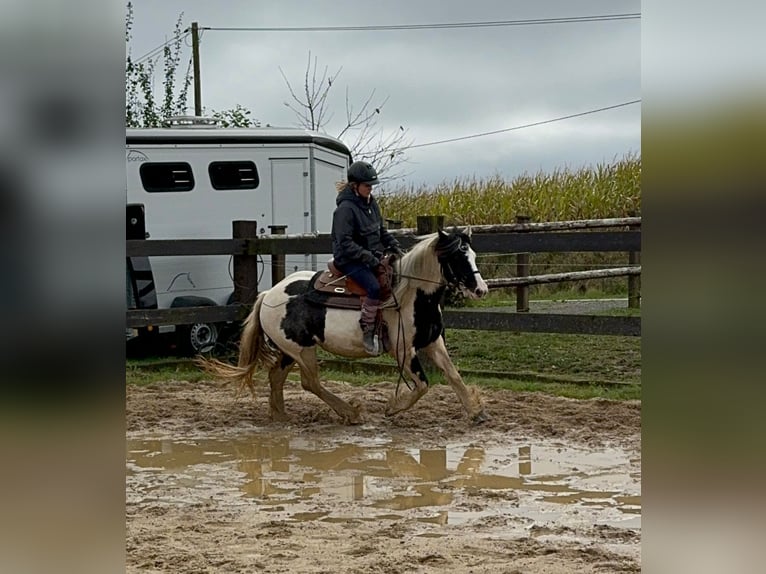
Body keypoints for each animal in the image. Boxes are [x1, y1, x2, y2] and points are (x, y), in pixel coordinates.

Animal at [202, 231, 492, 428]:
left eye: (473, 255)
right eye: (458, 257)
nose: (481, 290)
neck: (412, 295)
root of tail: (267, 295)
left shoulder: (432, 343)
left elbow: (453, 375)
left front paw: (475, 411)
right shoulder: (403, 350)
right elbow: (422, 386)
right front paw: (392, 408)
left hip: (290, 350)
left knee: (277, 377)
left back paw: (281, 415)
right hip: (302, 351)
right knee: (310, 382)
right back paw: (350, 413)